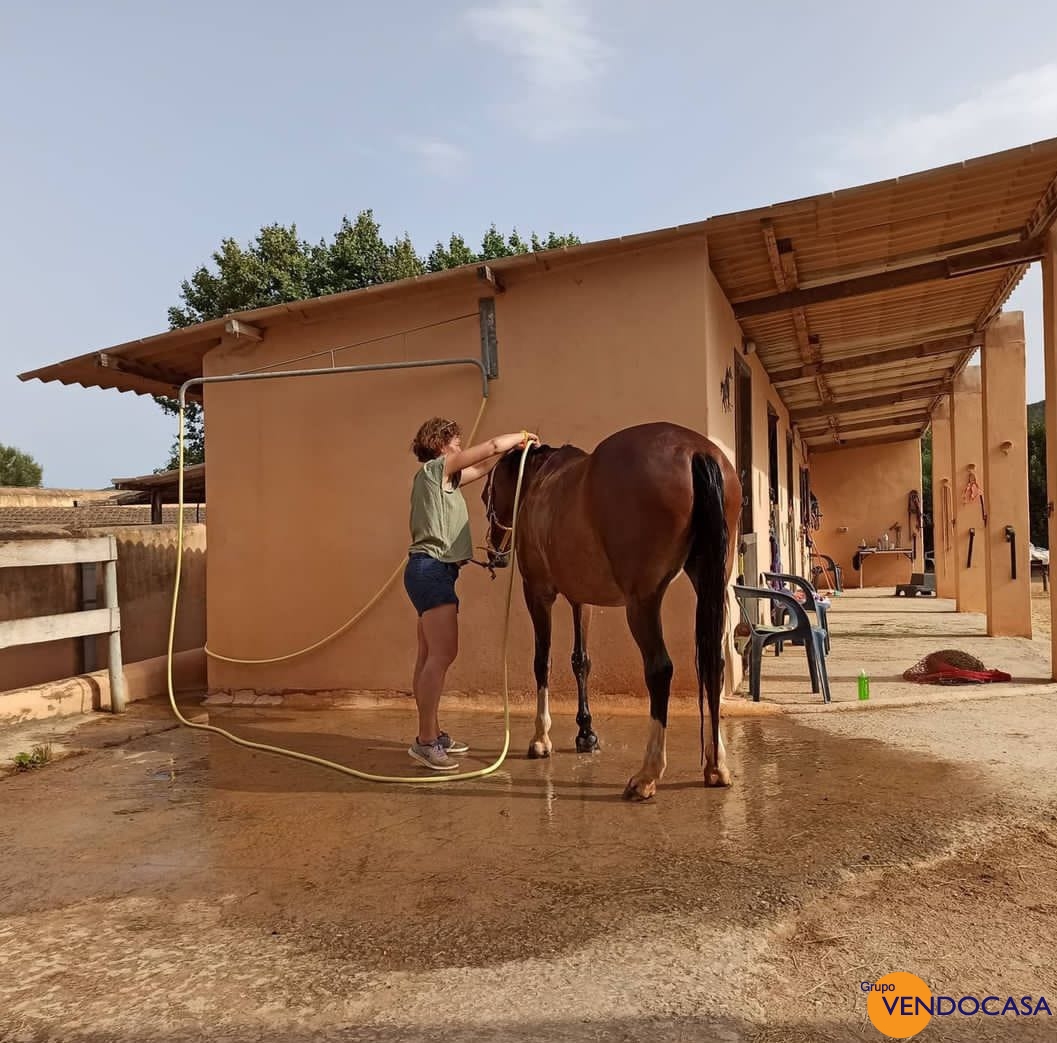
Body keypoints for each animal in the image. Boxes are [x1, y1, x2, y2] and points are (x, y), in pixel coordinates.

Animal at [484, 422, 739, 798]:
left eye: (486, 495)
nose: (494, 553)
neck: (539, 484)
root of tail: (696, 451)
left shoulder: (539, 593)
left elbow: (542, 661)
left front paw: (541, 738)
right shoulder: (582, 599)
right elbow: (581, 661)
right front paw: (585, 733)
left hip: (643, 603)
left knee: (660, 669)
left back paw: (647, 774)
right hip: (709, 584)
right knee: (714, 665)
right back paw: (716, 766)